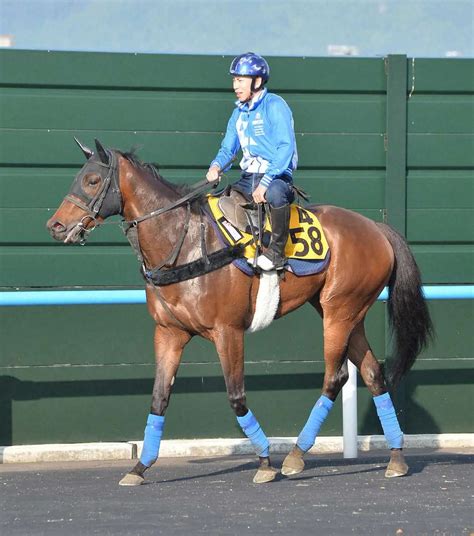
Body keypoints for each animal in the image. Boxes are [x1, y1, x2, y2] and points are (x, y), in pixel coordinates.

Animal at [45, 138, 434, 486]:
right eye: (78, 176)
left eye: (92, 180)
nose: (56, 226)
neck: (184, 243)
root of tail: (377, 228)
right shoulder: (169, 333)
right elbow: (159, 398)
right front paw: (140, 467)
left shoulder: (227, 331)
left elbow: (236, 397)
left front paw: (264, 461)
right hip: (347, 313)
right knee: (372, 373)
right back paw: (396, 457)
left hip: (339, 311)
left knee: (334, 377)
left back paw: (295, 456)